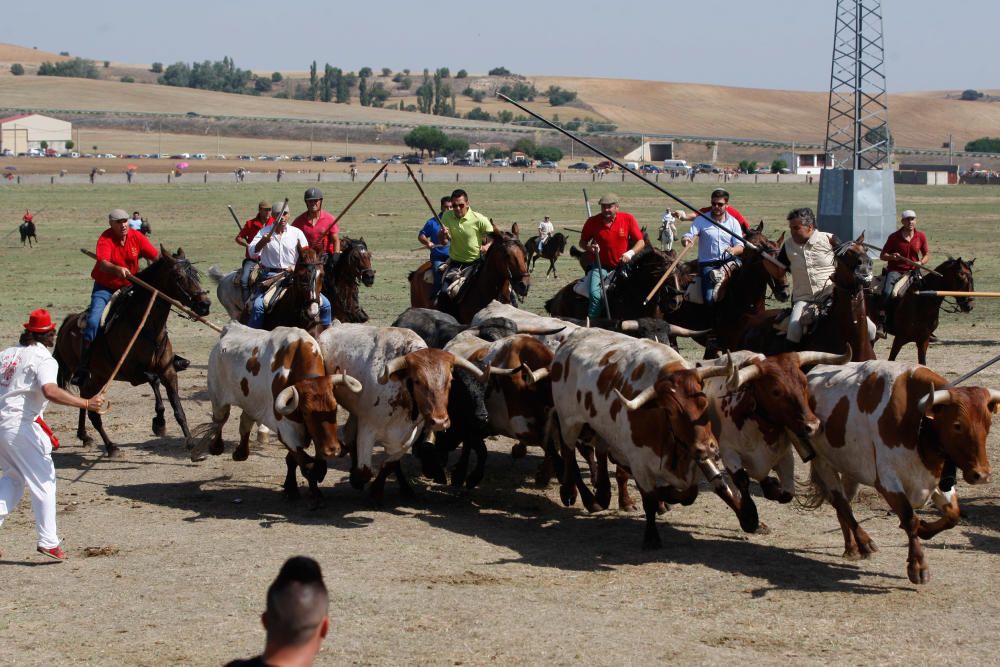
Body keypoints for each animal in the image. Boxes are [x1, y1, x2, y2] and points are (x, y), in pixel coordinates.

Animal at [54, 248, 211, 456]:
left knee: (84, 400)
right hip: (94, 376)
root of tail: (68, 322)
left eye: (196, 275)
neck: (147, 326)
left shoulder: (169, 371)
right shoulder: (132, 373)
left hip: (98, 377)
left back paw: (85, 436)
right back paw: (111, 446)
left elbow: (178, 409)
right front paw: (159, 423)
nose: (205, 305)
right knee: (92, 409)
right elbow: (154, 380)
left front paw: (191, 443)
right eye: (179, 276)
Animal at [193, 320, 362, 504]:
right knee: (220, 421)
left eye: (335, 409)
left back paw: (241, 452)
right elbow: (306, 464)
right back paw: (216, 447)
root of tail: (229, 328)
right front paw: (308, 492)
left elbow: (298, 461)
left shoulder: (314, 434)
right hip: (218, 399)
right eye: (306, 412)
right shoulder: (287, 430)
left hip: (252, 402)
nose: (333, 450)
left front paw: (295, 488)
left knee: (245, 419)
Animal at [314, 322, 482, 500]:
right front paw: (356, 480)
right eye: (418, 381)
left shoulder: (410, 436)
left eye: (450, 380)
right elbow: (365, 471)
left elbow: (390, 464)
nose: (440, 421)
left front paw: (377, 490)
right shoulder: (367, 429)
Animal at [808, 360, 996, 584]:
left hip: (850, 469)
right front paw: (918, 566)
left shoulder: (935, 479)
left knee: (844, 505)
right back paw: (864, 543)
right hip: (822, 462)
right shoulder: (888, 481)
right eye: (957, 425)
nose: (981, 475)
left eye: (988, 424)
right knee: (842, 504)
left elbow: (953, 515)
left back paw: (850, 547)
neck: (918, 424)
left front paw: (925, 529)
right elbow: (909, 519)